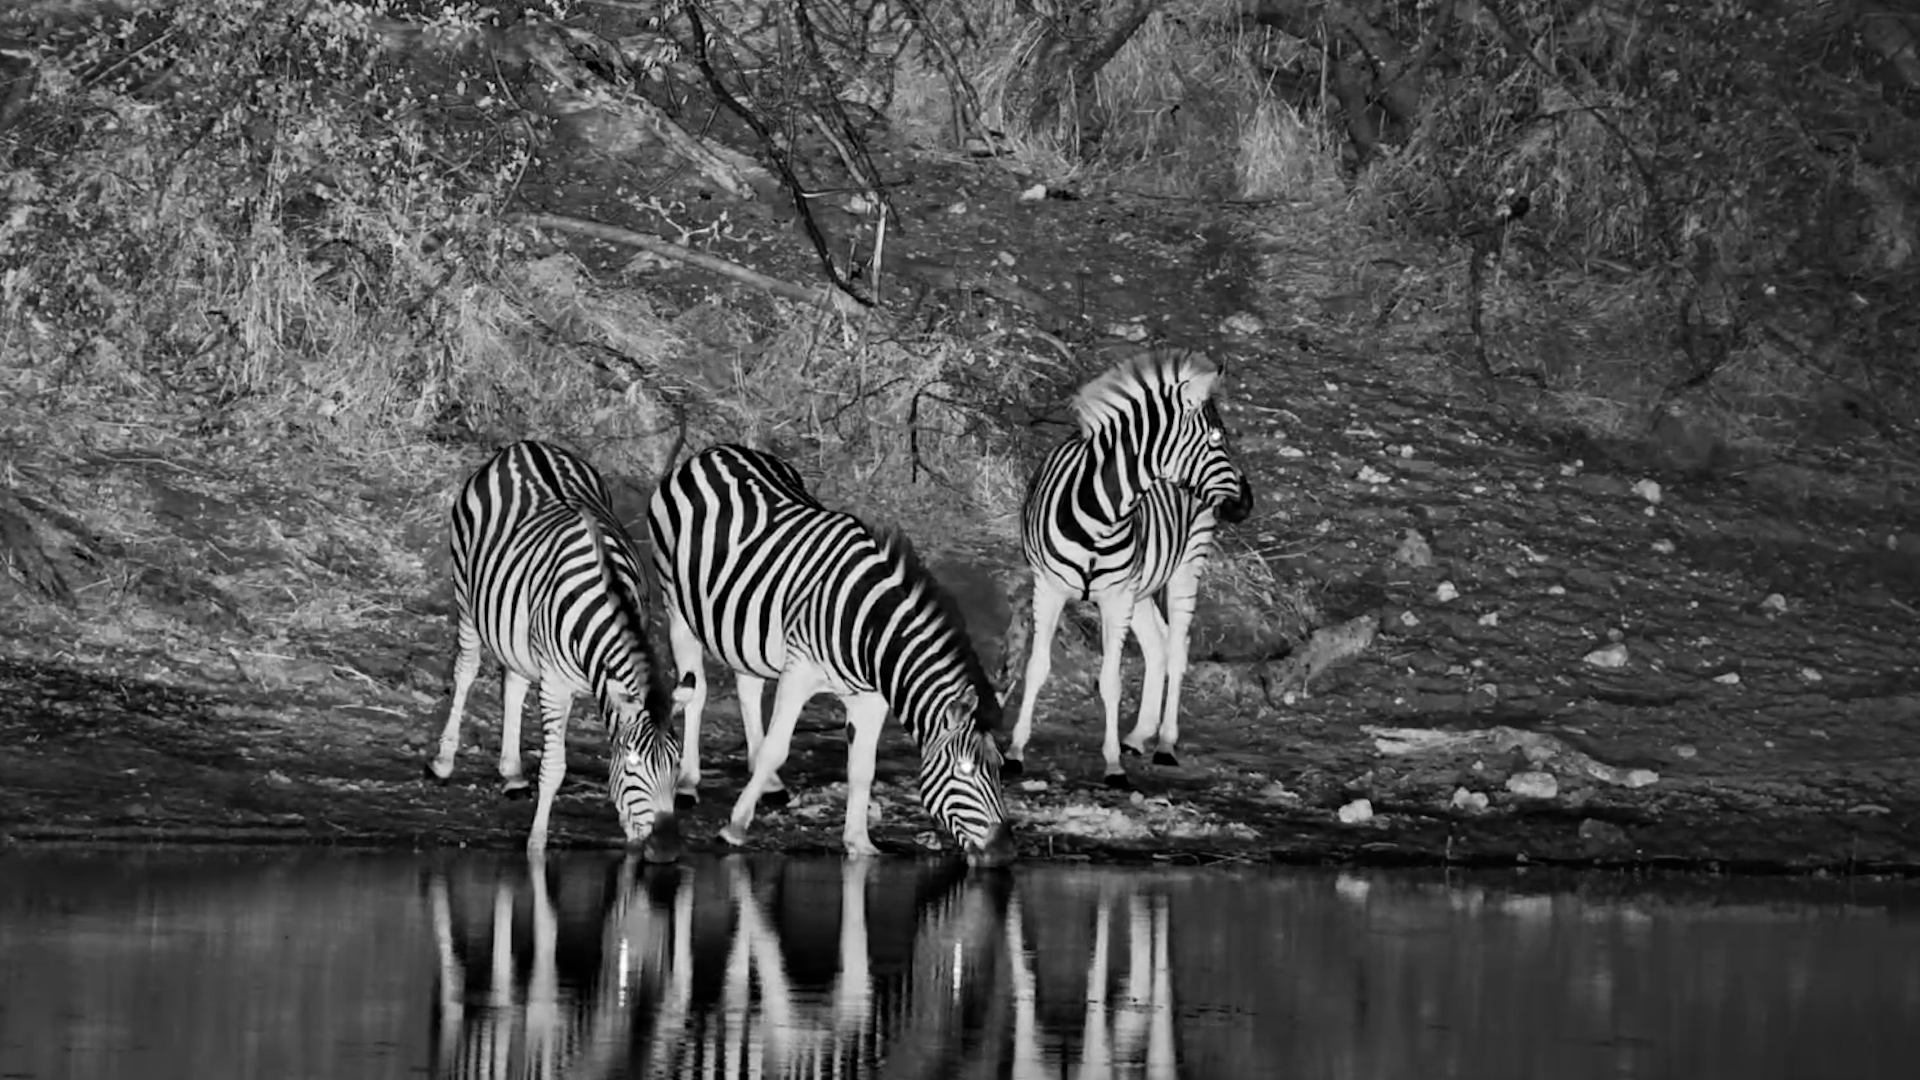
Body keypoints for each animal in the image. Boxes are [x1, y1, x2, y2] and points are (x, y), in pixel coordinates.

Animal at [428, 440, 684, 859]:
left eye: (677, 764)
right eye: (631, 764)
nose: (666, 850)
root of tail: (526, 446)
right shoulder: (555, 686)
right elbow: (554, 767)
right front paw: (536, 843)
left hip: (514, 624)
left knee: (514, 682)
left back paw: (513, 774)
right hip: (465, 592)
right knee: (465, 669)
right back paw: (444, 761)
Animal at [647, 443, 1016, 866]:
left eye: (1000, 769)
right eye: (967, 770)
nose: (1005, 853)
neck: (870, 630)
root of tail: (715, 450)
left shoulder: (872, 698)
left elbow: (862, 768)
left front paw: (860, 842)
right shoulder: (799, 673)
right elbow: (777, 748)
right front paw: (735, 827)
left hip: (745, 624)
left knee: (748, 687)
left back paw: (766, 783)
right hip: (676, 606)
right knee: (698, 690)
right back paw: (688, 783)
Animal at [1006, 350, 1254, 789]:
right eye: (1216, 440)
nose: (1247, 503)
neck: (1100, 515)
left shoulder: (1115, 597)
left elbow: (1110, 681)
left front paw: (1112, 766)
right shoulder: (1049, 588)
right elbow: (1036, 667)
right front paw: (1015, 752)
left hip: (1186, 565)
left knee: (1177, 647)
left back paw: (1165, 743)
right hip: (1142, 586)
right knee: (1159, 644)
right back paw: (1138, 736)